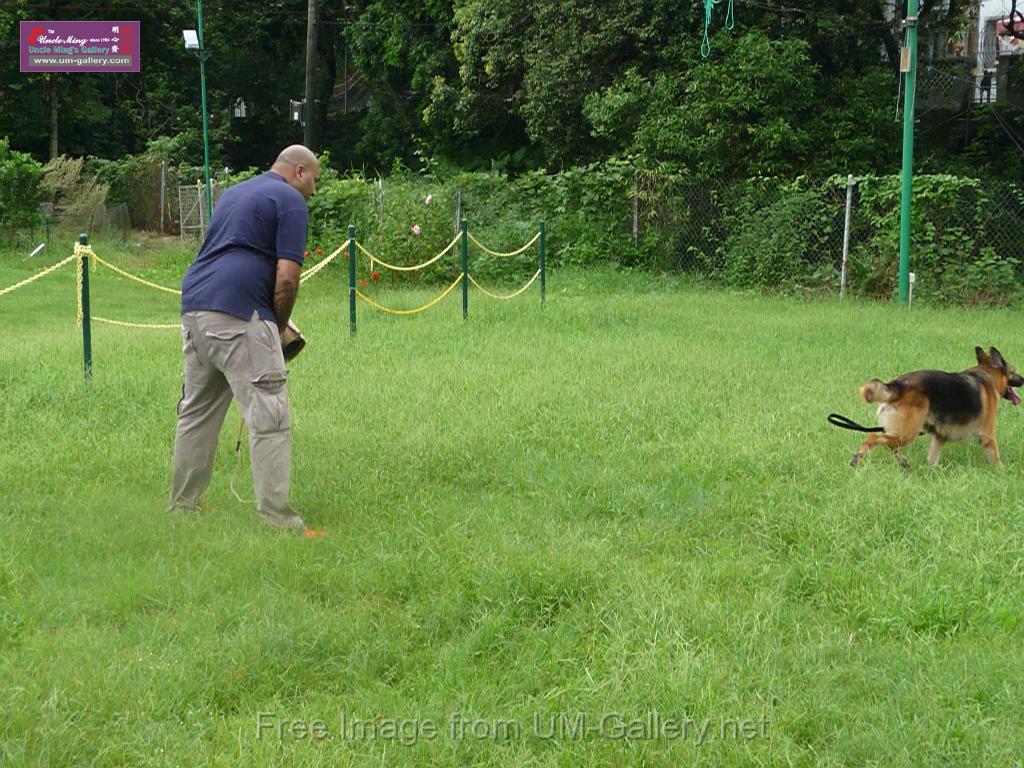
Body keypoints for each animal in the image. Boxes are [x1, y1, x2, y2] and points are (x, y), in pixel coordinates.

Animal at [847, 348, 1024, 468]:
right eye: (1013, 371)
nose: (1023, 379)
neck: (987, 377)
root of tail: (898, 385)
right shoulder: (988, 435)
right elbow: (996, 458)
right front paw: (1002, 473)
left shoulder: (939, 437)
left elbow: (932, 458)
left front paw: (933, 471)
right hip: (907, 433)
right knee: (874, 438)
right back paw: (858, 457)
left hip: (901, 432)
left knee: (889, 445)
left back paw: (904, 463)